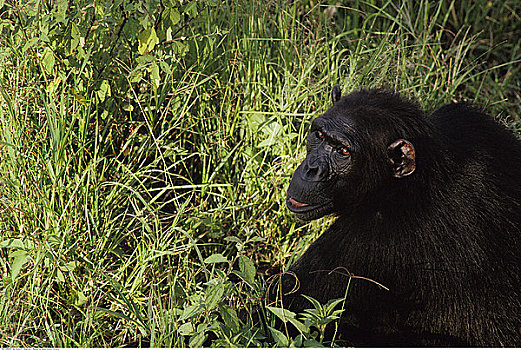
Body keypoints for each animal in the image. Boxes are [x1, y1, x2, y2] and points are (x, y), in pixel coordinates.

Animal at [280, 86, 520, 346]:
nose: (311, 168)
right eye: (320, 136)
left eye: (343, 151)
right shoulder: (479, 128)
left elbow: (283, 310)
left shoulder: (354, 247)